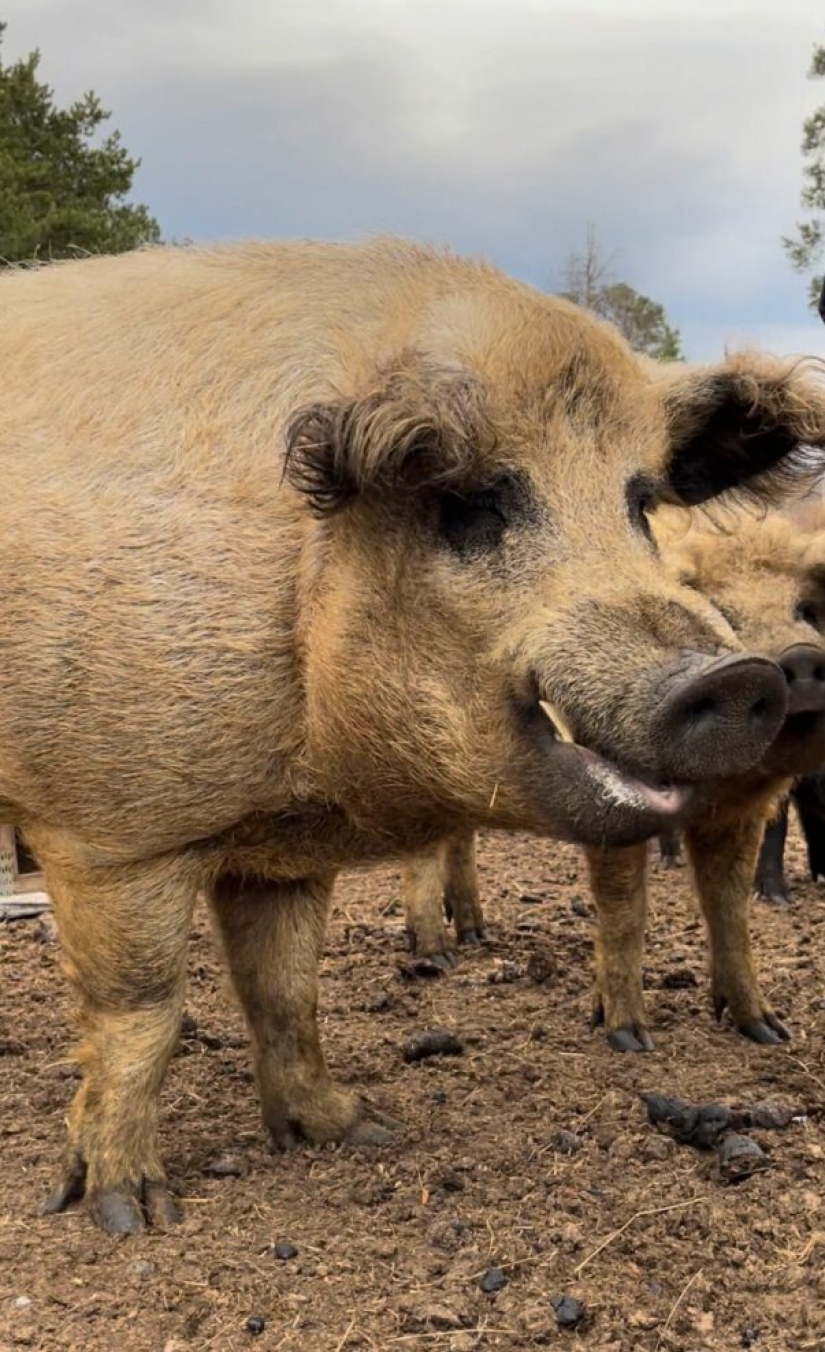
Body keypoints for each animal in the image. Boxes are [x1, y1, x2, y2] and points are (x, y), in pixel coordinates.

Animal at [403, 505, 825, 1046]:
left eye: (806, 610)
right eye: (721, 611)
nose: (801, 656)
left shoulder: (739, 813)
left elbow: (730, 908)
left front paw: (769, 1031)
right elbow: (624, 910)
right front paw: (628, 1039)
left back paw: (476, 934)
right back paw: (436, 957)